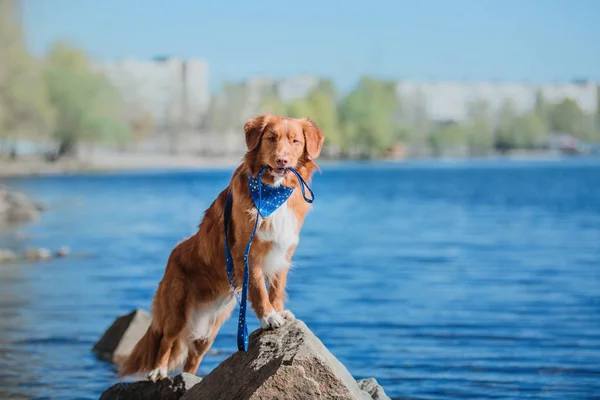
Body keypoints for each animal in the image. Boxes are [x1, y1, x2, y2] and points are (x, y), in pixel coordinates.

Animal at [120, 113, 324, 382]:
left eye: (295, 141)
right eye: (271, 138)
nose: (282, 160)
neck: (271, 191)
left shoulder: (283, 251)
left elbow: (276, 289)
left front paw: (279, 312)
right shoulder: (249, 253)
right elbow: (259, 289)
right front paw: (269, 317)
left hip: (211, 326)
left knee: (193, 358)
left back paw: (190, 380)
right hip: (177, 310)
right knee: (166, 340)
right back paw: (158, 371)